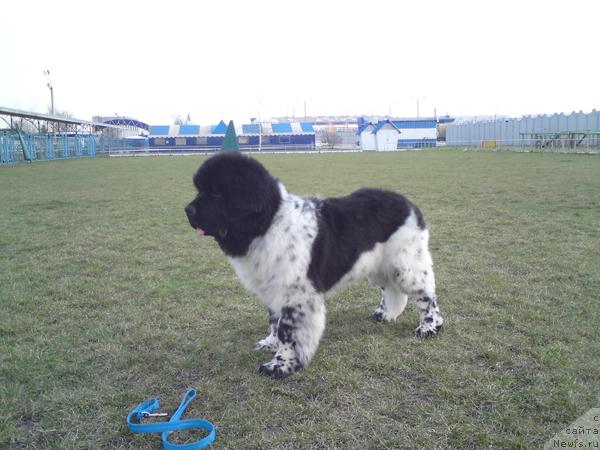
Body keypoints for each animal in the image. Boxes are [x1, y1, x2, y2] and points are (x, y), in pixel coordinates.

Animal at [185, 153, 442, 378]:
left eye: (217, 192)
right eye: (200, 190)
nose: (187, 210)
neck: (268, 223)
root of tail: (407, 203)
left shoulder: (297, 295)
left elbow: (288, 331)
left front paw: (280, 365)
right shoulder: (274, 289)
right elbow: (274, 322)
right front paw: (270, 343)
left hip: (407, 266)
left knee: (427, 296)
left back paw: (430, 328)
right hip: (380, 267)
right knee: (392, 290)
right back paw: (386, 314)